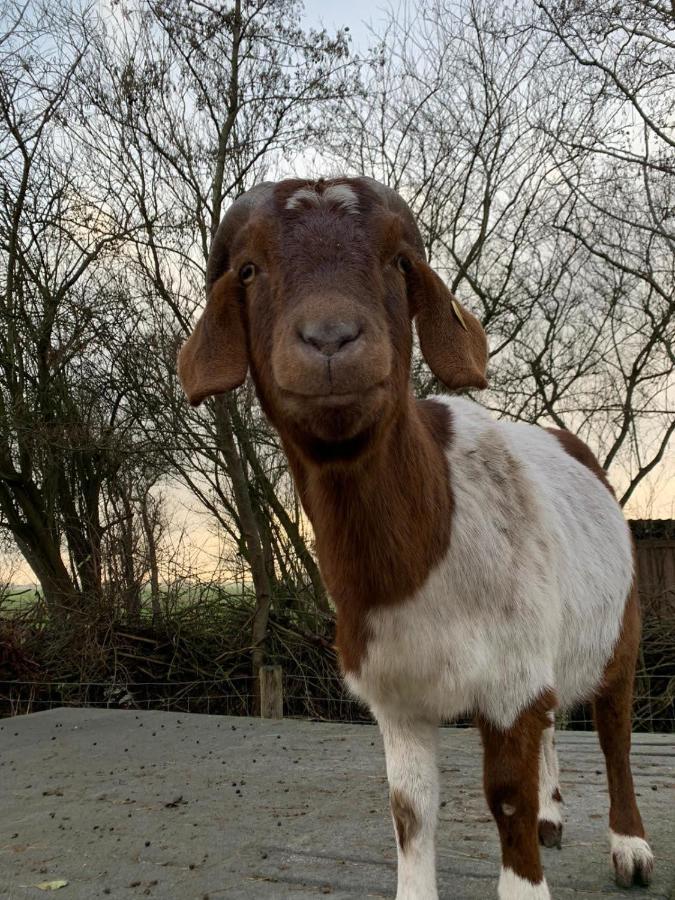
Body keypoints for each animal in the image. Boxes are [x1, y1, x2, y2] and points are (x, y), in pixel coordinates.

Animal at [178, 178, 656, 900]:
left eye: (398, 262)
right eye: (249, 270)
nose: (330, 338)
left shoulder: (508, 679)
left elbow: (506, 796)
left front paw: (527, 879)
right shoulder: (398, 696)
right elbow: (409, 808)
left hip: (617, 630)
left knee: (614, 735)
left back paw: (629, 848)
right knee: (553, 721)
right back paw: (553, 816)